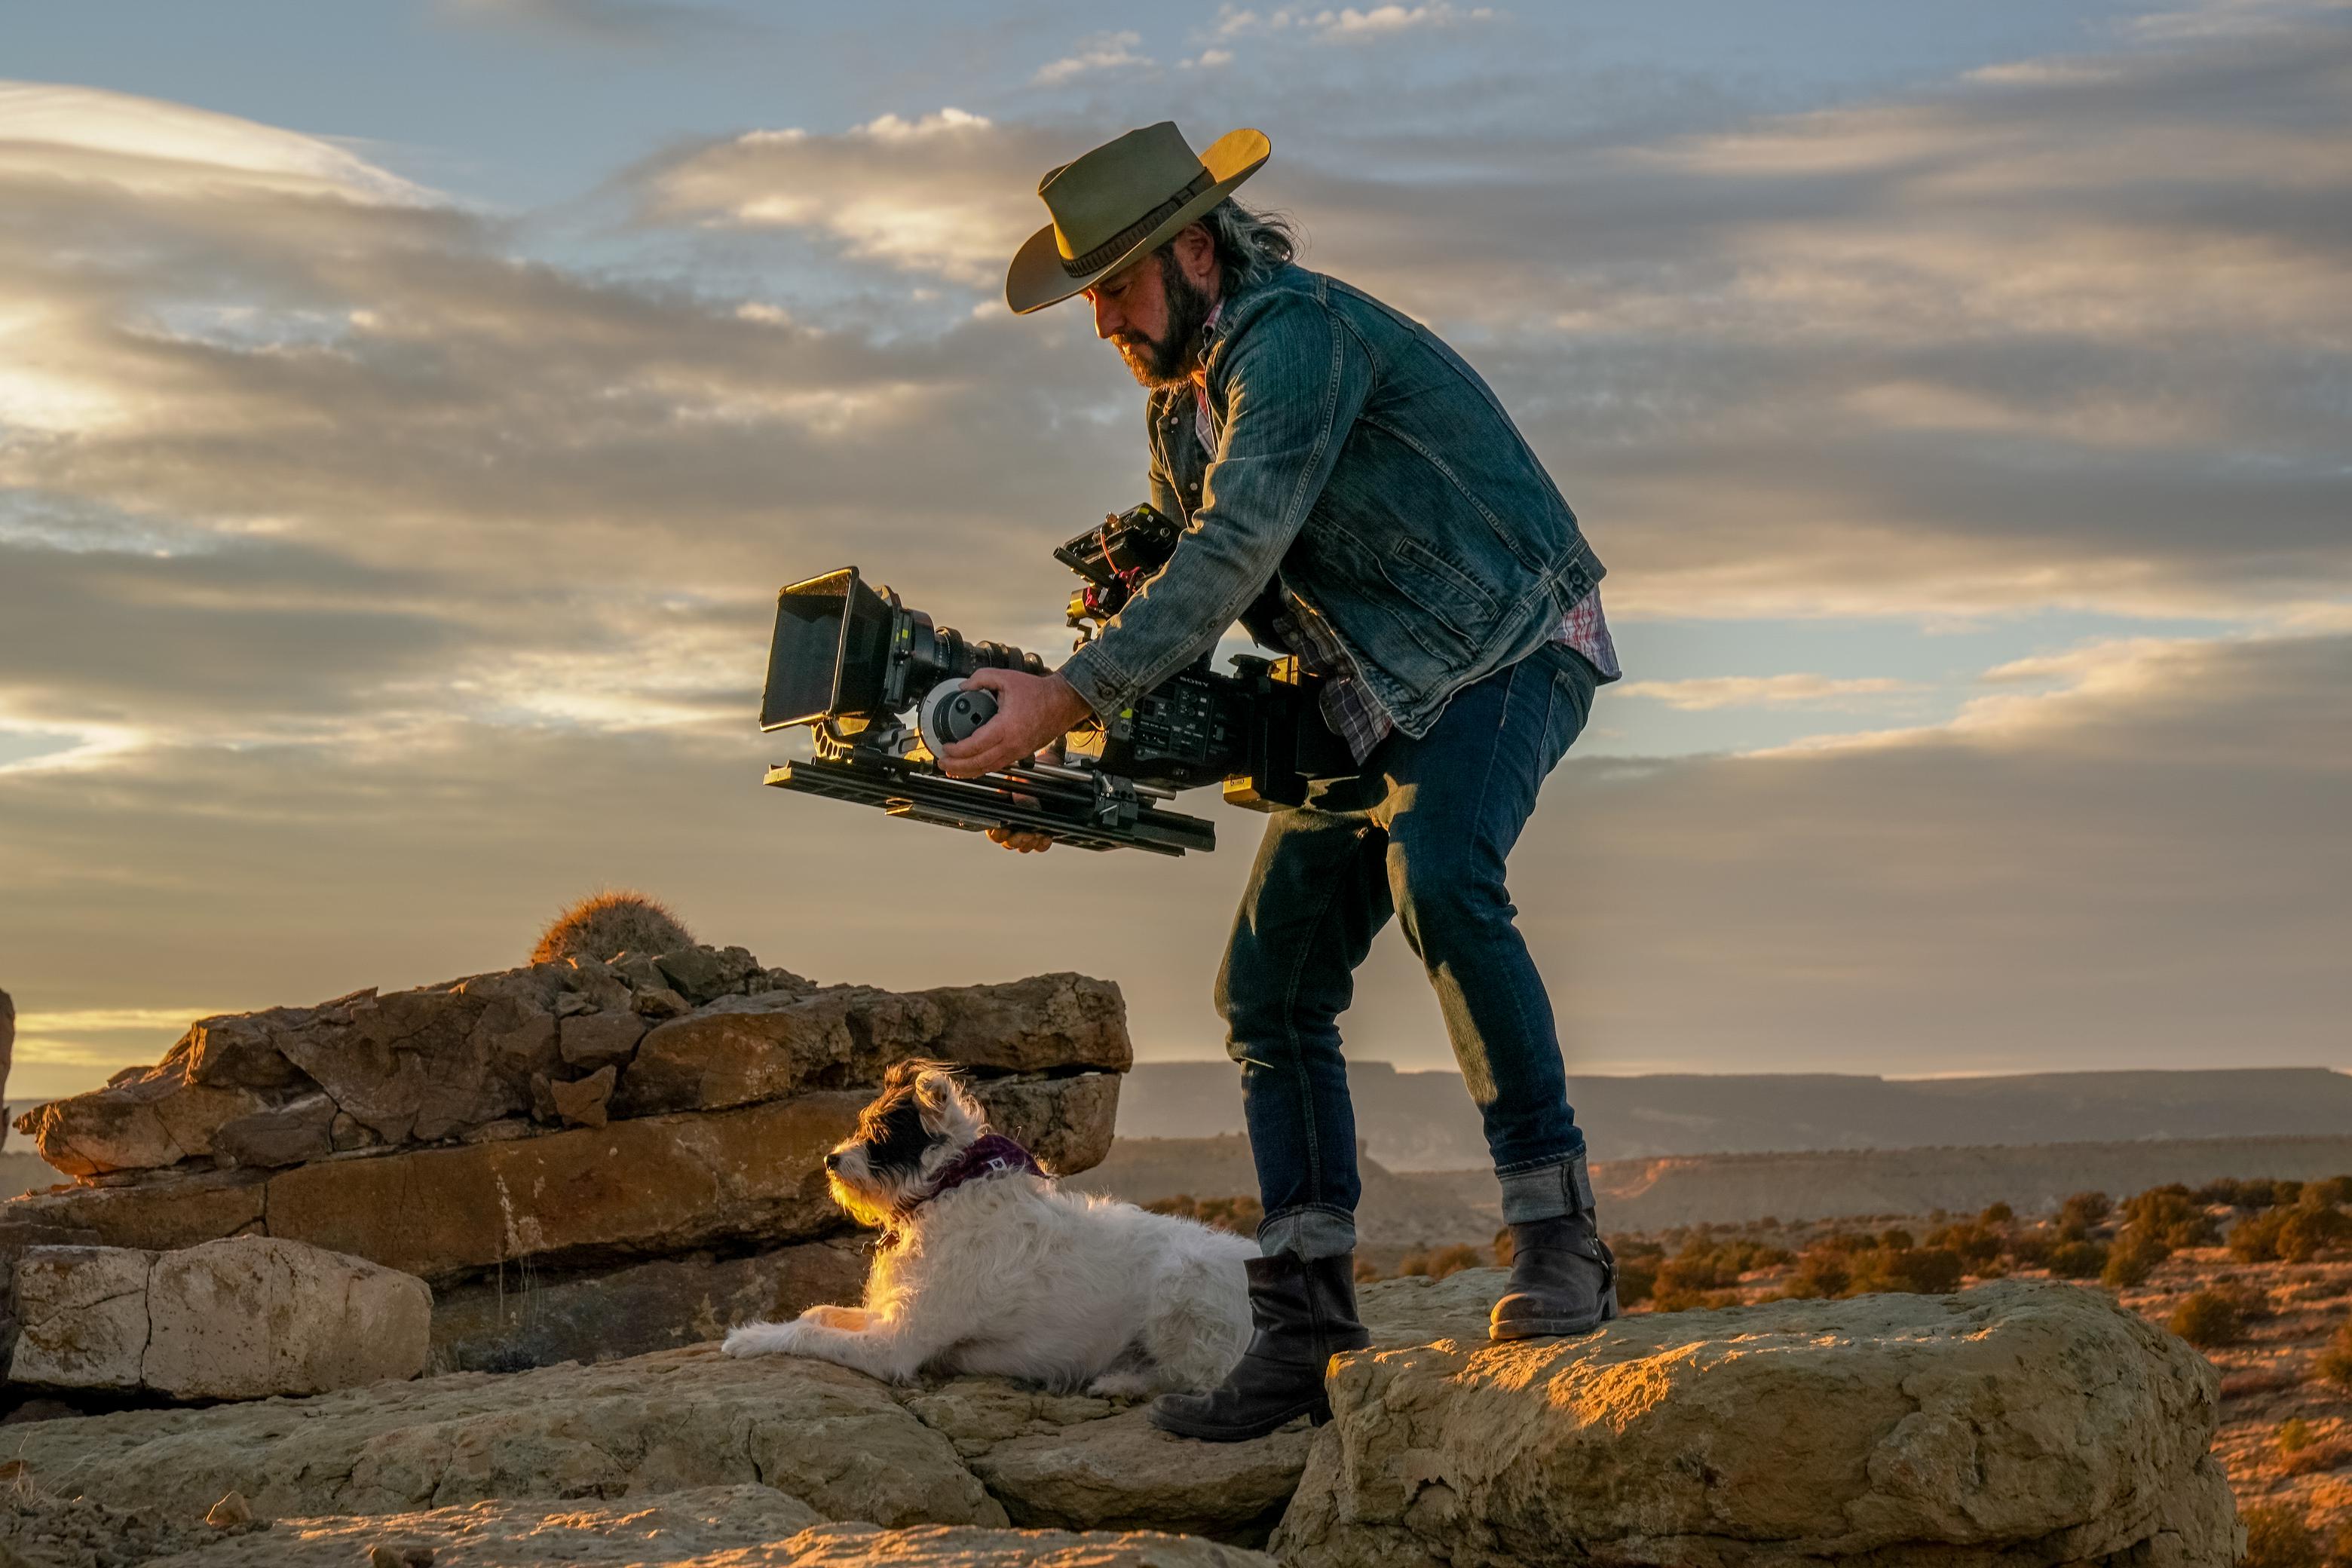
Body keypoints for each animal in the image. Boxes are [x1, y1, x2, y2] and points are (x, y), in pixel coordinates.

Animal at [719, 1062, 1260, 1392]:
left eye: (881, 1133)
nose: (830, 1160)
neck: (946, 1191)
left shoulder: (895, 1347)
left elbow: (809, 1334)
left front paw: (751, 1338)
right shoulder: (890, 1316)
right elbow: (818, 1315)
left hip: (1185, 1284)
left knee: (1202, 1377)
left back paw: (1123, 1383)